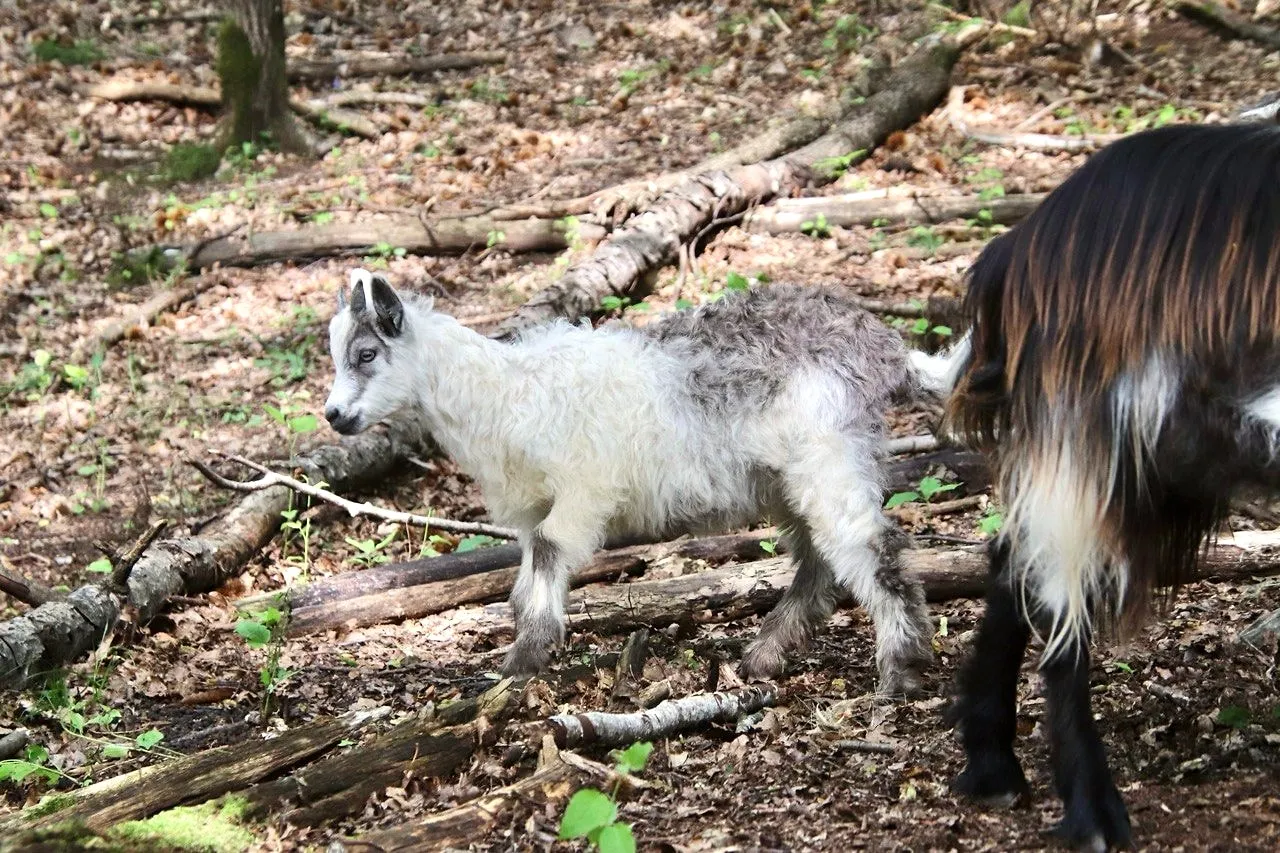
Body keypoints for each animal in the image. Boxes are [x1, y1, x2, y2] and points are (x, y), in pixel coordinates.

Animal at [324, 269, 937, 695]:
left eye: (366, 353)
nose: (333, 416)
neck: (503, 392)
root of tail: (887, 349)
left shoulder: (582, 489)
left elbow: (550, 549)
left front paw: (525, 658)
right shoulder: (530, 503)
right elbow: (524, 577)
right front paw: (527, 644)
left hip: (829, 452)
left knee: (873, 548)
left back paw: (899, 674)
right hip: (787, 477)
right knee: (818, 560)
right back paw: (763, 656)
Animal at [921, 123, 1280, 851]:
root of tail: (1021, 245)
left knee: (1012, 558)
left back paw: (991, 762)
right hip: (1094, 439)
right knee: (1058, 605)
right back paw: (1092, 812)